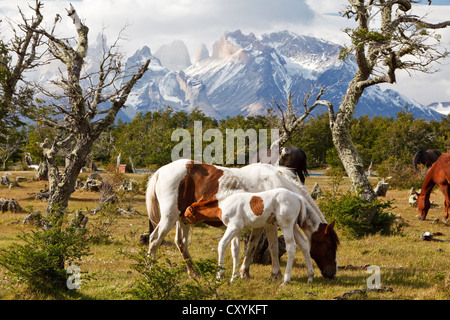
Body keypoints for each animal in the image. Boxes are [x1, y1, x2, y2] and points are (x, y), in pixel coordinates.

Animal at [146, 159, 340, 280]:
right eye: (329, 246)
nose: (332, 273)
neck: (277, 183)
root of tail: (160, 172)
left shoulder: (260, 224)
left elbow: (252, 245)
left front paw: (244, 272)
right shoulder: (271, 224)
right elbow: (272, 246)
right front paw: (276, 274)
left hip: (183, 219)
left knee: (181, 243)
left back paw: (193, 273)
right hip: (170, 217)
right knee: (155, 239)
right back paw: (149, 271)